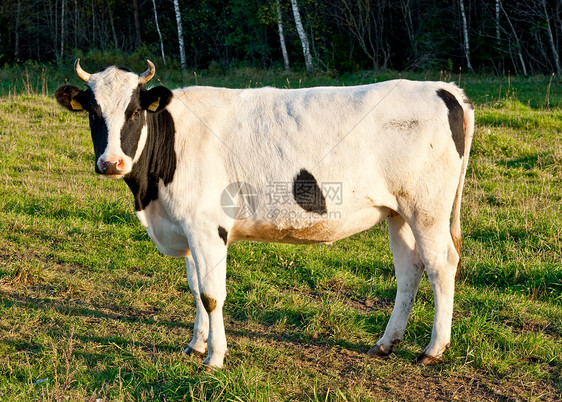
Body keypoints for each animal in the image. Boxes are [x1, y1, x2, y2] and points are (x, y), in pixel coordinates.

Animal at [54, 59, 472, 368]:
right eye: (93, 112)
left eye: (135, 110)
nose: (111, 163)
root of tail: (444, 88)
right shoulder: (187, 226)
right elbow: (194, 287)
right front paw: (196, 345)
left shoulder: (208, 228)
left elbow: (211, 294)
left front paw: (215, 358)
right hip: (398, 212)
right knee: (409, 269)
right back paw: (386, 343)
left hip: (427, 209)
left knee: (441, 265)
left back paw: (434, 349)